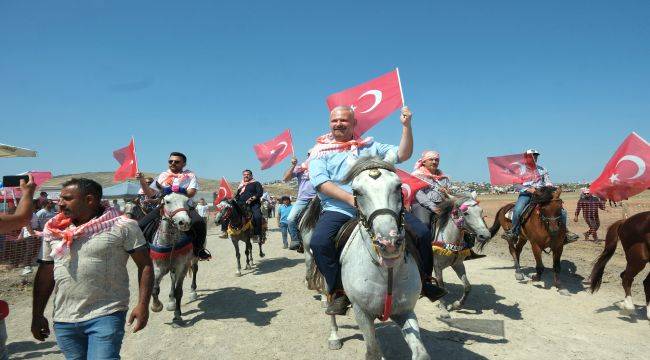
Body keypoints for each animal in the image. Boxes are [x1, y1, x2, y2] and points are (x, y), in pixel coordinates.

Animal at [149, 193, 197, 328]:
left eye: (187, 201)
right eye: (167, 201)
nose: (184, 222)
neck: (170, 243)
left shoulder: (182, 267)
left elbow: (178, 291)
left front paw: (177, 315)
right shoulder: (158, 267)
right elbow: (154, 289)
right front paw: (156, 306)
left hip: (193, 259)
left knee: (194, 270)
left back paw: (192, 292)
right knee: (172, 278)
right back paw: (171, 301)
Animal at [300, 158, 430, 360]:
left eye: (398, 186)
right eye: (357, 191)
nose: (389, 242)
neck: (387, 271)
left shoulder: (405, 311)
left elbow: (421, 353)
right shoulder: (362, 313)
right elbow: (372, 351)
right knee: (329, 303)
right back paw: (334, 336)